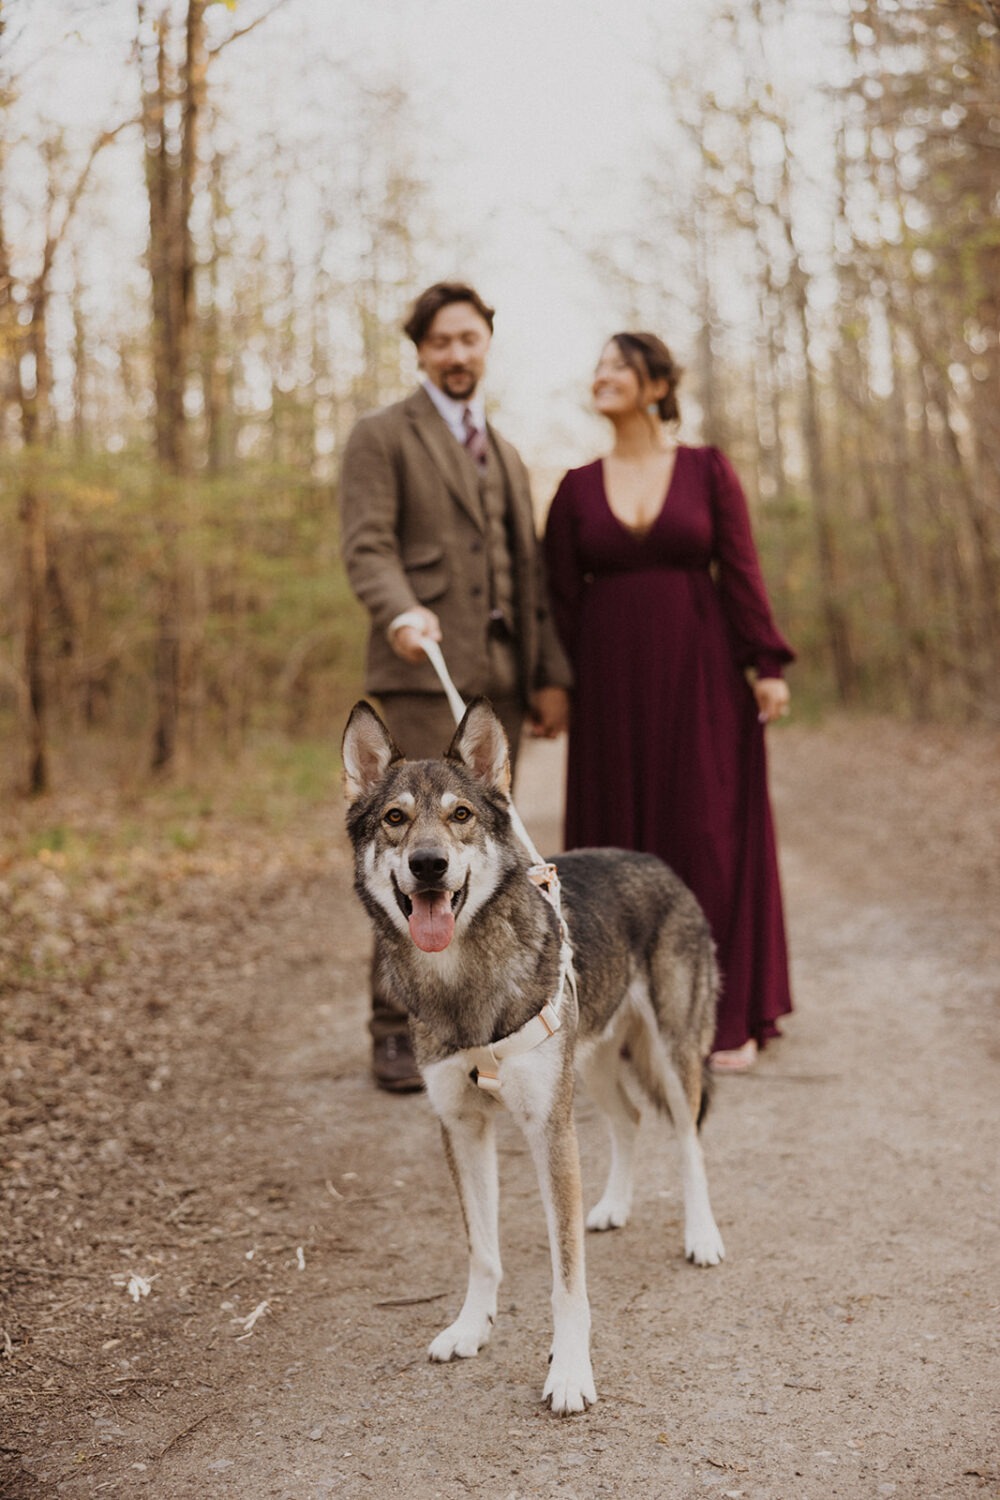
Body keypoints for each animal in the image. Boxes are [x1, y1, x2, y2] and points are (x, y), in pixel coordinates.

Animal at [340, 696, 722, 1410]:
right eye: (395, 819)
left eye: (461, 815)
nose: (428, 865)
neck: (462, 981)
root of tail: (656, 862)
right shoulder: (463, 1128)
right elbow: (483, 1252)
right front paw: (471, 1328)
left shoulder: (549, 1129)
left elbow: (567, 1279)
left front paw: (569, 1372)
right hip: (592, 1065)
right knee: (631, 1121)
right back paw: (613, 1207)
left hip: (670, 1056)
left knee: (687, 1139)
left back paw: (702, 1236)